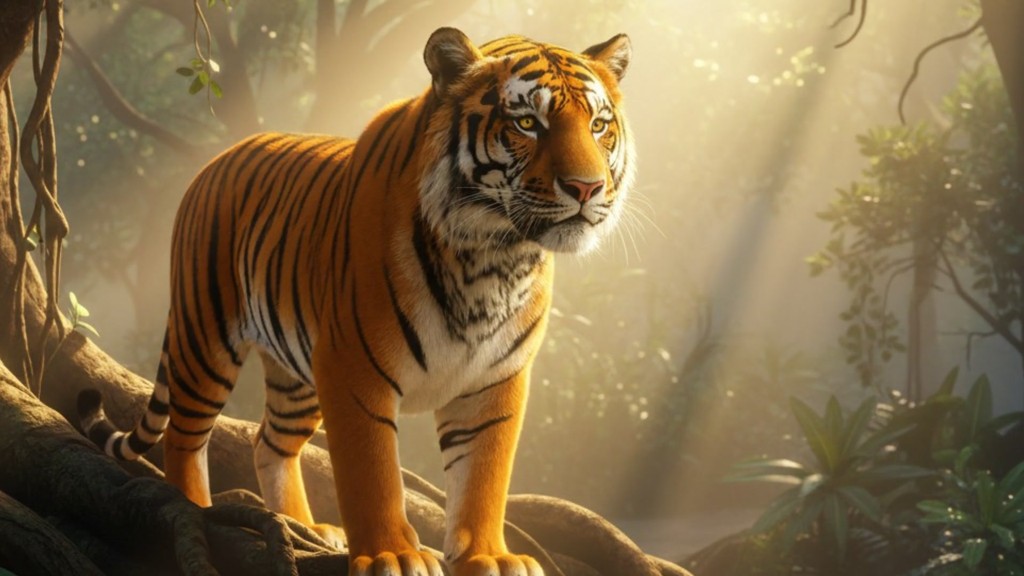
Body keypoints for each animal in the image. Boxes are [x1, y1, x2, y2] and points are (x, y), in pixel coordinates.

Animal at [79, 27, 634, 576]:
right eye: (527, 123)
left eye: (599, 125)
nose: (587, 188)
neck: (494, 256)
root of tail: (214, 160)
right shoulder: (353, 369)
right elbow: (372, 473)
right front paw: (393, 555)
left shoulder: (495, 380)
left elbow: (483, 476)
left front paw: (488, 557)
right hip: (206, 338)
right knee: (184, 436)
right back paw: (196, 511)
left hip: (297, 373)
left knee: (269, 443)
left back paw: (306, 529)